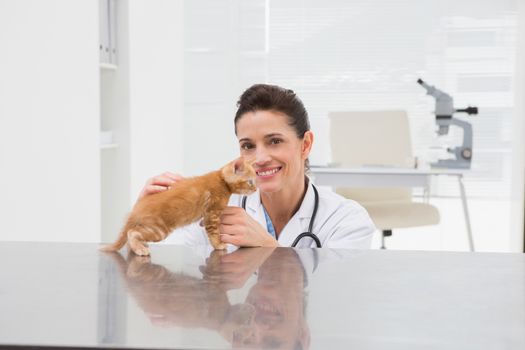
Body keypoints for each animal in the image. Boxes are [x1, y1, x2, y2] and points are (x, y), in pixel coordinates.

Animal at [100, 158, 256, 254]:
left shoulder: (208, 216)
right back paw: (140, 249)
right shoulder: (212, 214)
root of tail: (136, 209)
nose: (255, 189)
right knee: (131, 232)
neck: (221, 180)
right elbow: (214, 233)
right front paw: (219, 245)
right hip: (159, 230)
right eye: (250, 182)